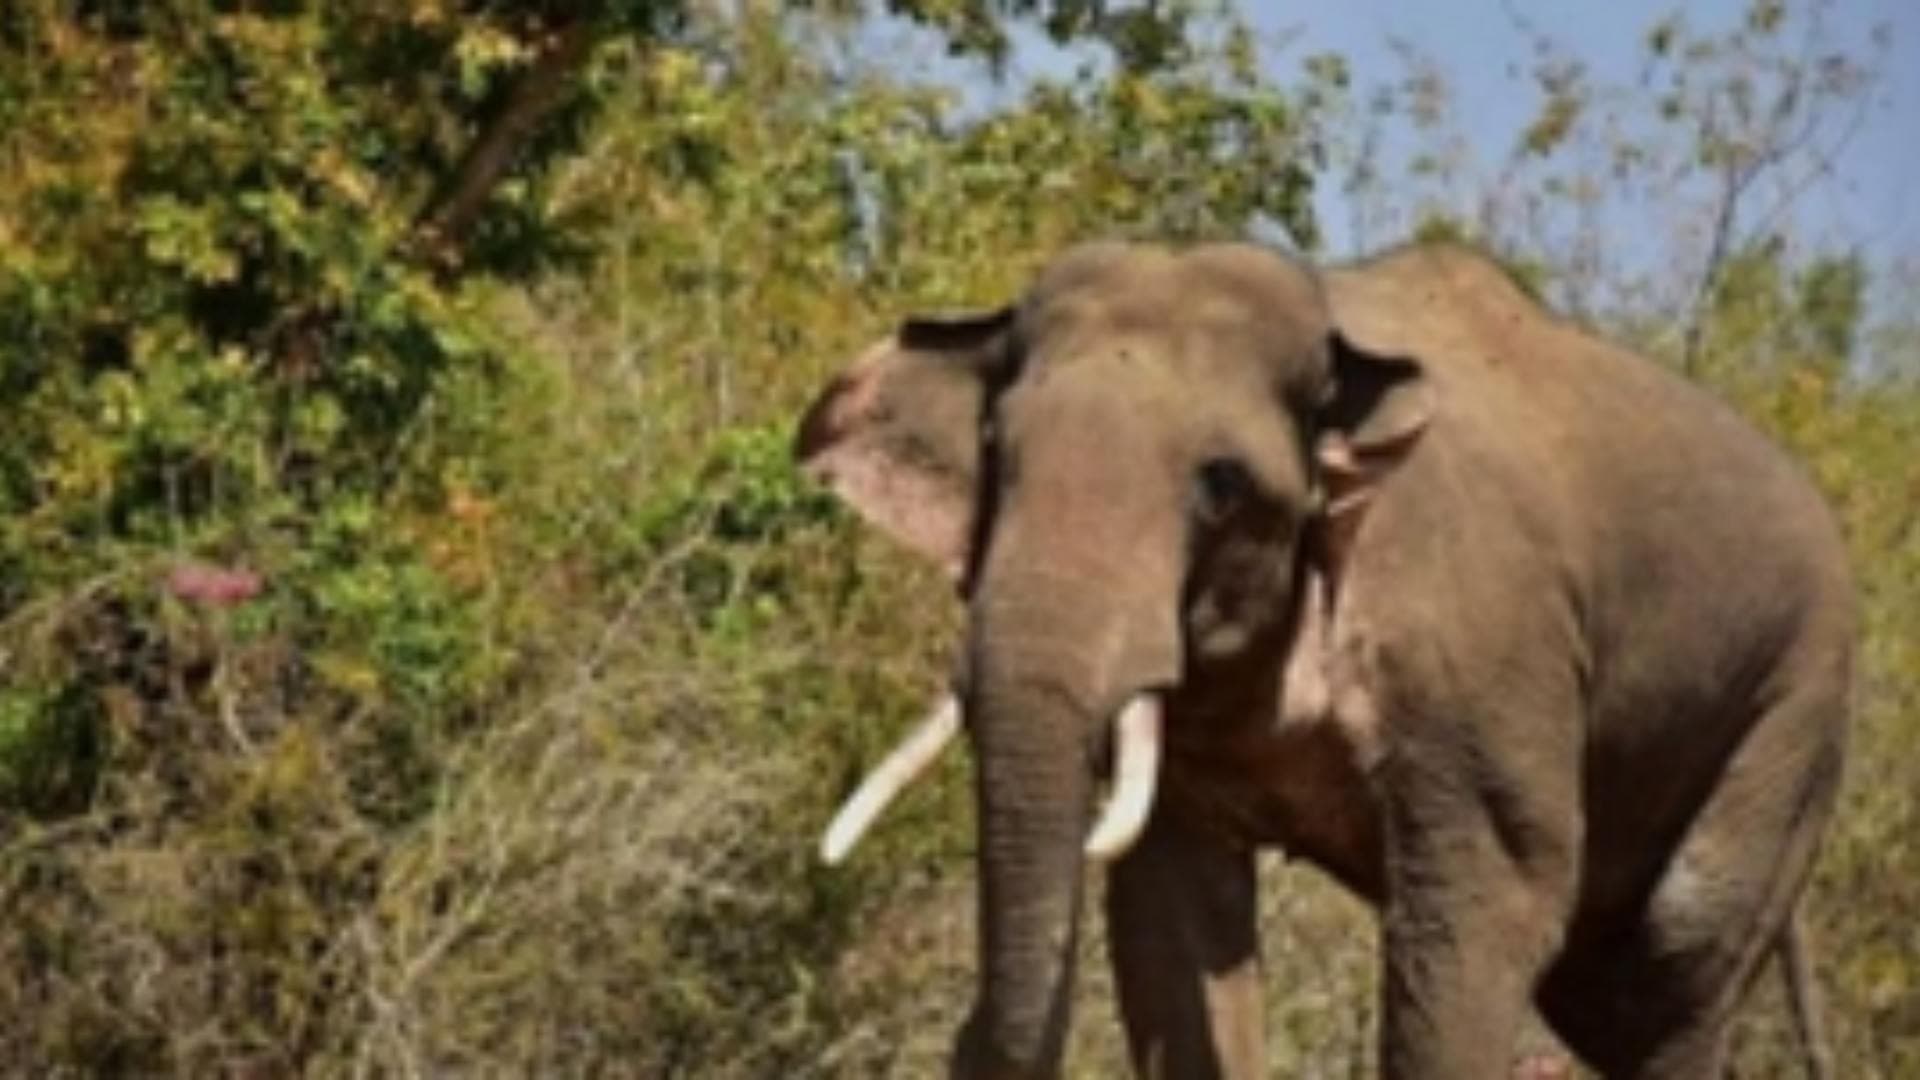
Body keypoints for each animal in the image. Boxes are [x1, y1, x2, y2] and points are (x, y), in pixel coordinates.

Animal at [794, 240, 1852, 1079]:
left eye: (1220, 483)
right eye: (995, 450)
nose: (966, 1038)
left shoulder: (1479, 651)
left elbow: (1483, 906)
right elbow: (1175, 920)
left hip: (1795, 707)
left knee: (1671, 963)